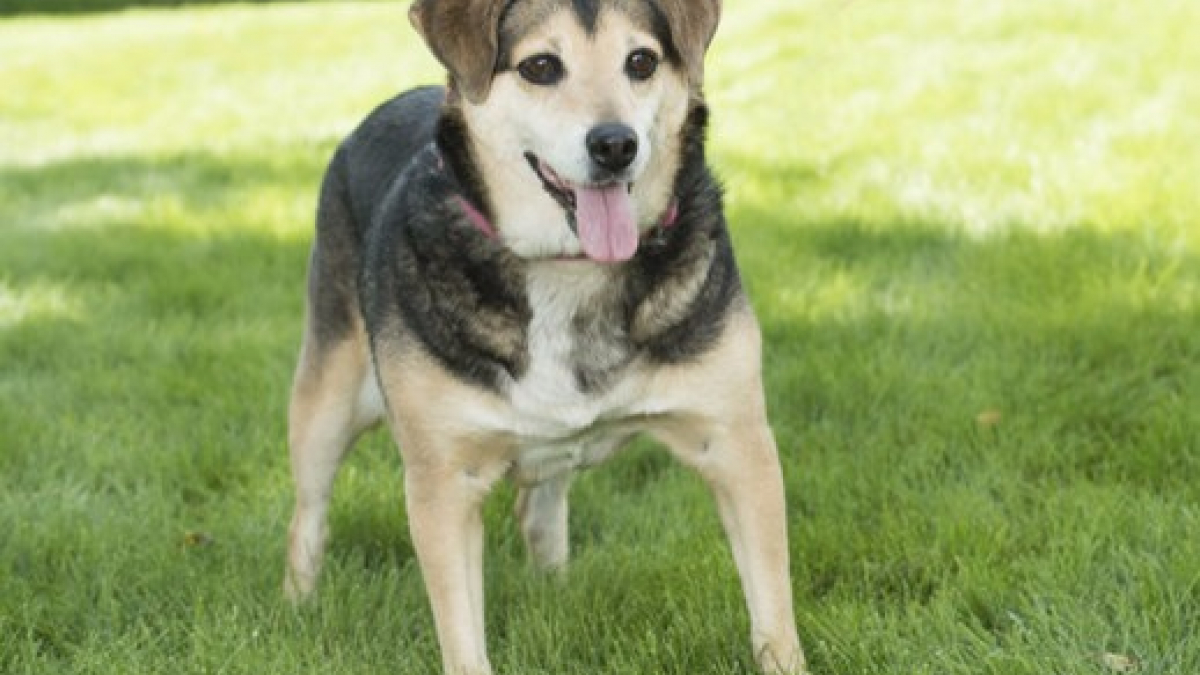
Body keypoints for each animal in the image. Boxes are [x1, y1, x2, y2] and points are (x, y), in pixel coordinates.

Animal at [284, 1, 806, 672]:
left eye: (641, 61)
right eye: (540, 67)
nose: (615, 145)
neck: (568, 267)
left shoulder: (738, 443)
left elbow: (772, 607)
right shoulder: (442, 483)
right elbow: (462, 639)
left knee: (539, 507)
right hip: (328, 394)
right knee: (308, 514)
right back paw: (297, 606)